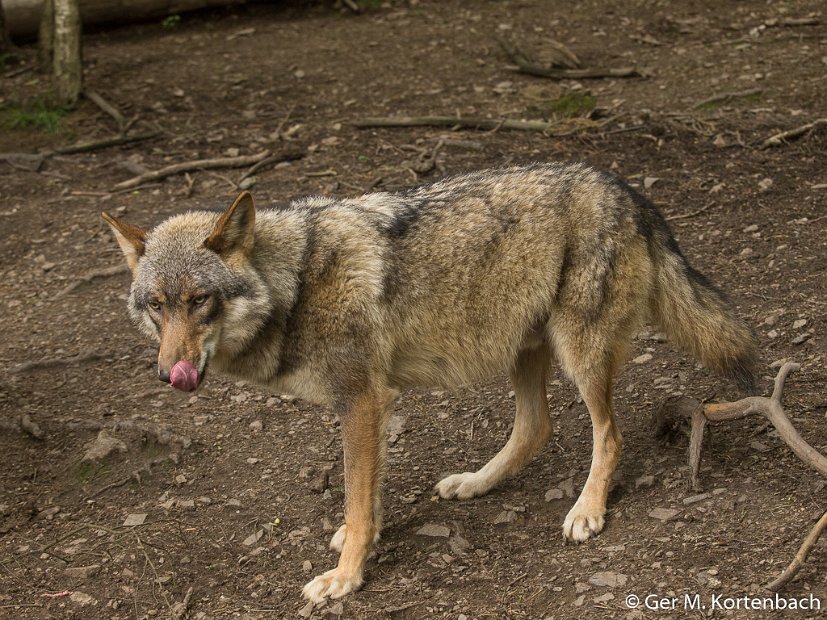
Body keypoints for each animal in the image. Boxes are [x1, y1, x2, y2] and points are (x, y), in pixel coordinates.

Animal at [102, 162, 756, 604]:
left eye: (200, 301)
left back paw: (587, 510)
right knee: (536, 428)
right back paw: (475, 483)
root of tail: (625, 188)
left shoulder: (362, 400)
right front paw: (359, 539)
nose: (168, 373)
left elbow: (357, 495)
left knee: (608, 434)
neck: (295, 284)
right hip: (519, 346)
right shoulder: (368, 406)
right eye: (157, 305)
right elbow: (367, 497)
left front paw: (347, 578)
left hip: (578, 355)